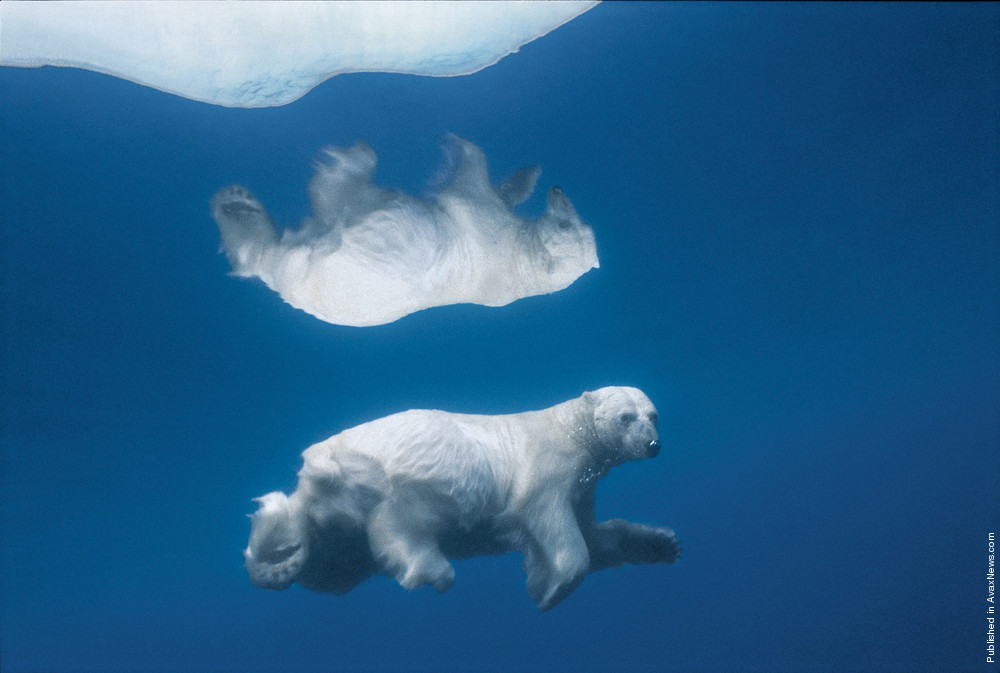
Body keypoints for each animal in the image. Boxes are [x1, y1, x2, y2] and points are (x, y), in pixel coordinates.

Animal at [210, 133, 596, 326]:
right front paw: (529, 174)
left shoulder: (481, 223)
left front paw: (456, 145)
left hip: (322, 264)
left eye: (565, 223)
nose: (557, 191)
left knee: (327, 203)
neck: (520, 264)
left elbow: (470, 177)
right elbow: (499, 191)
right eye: (577, 222)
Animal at [242, 384, 680, 608]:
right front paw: (550, 589)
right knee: (401, 526)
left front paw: (662, 543)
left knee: (331, 564)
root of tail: (310, 477)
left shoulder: (584, 484)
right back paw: (432, 570)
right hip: (391, 479)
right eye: (626, 417)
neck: (570, 429)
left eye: (654, 415)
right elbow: (555, 525)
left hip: (338, 525)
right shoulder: (548, 467)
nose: (653, 444)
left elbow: (598, 534)